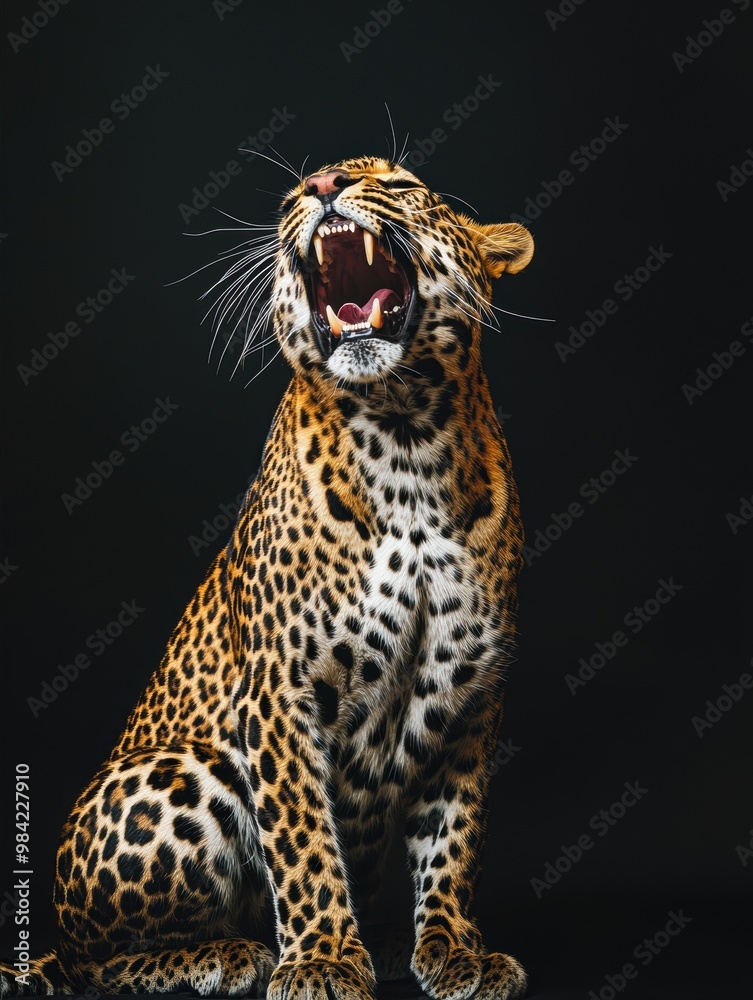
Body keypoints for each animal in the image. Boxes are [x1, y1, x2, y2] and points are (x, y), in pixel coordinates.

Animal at [1, 155, 534, 1000]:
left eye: (401, 183)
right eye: (291, 199)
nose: (321, 185)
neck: (407, 436)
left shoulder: (472, 699)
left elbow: (452, 839)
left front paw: (453, 947)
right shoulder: (282, 691)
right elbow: (303, 840)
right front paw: (321, 960)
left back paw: (385, 940)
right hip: (186, 772)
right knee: (98, 964)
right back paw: (226, 955)